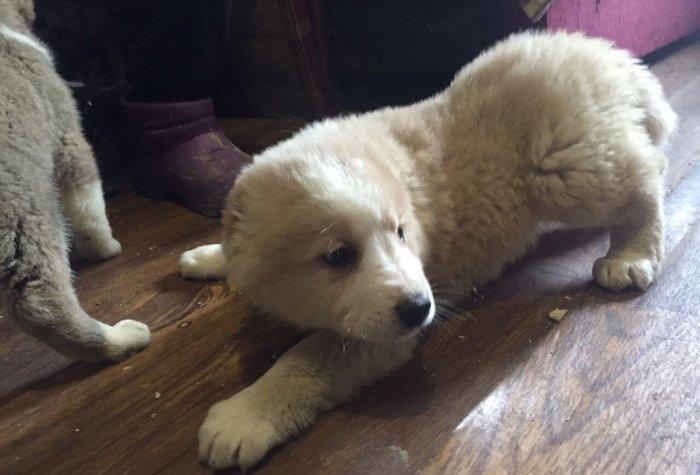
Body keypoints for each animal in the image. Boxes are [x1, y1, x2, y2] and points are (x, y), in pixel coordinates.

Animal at [0, 0, 150, 360]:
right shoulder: (70, 140)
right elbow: (90, 209)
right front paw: (106, 249)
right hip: (27, 224)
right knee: (43, 305)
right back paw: (122, 337)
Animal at [181, 30, 676, 469]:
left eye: (400, 231)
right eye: (338, 255)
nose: (420, 308)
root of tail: (610, 56)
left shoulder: (379, 335)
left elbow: (309, 357)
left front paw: (244, 416)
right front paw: (209, 256)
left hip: (567, 165)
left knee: (642, 182)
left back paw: (630, 255)